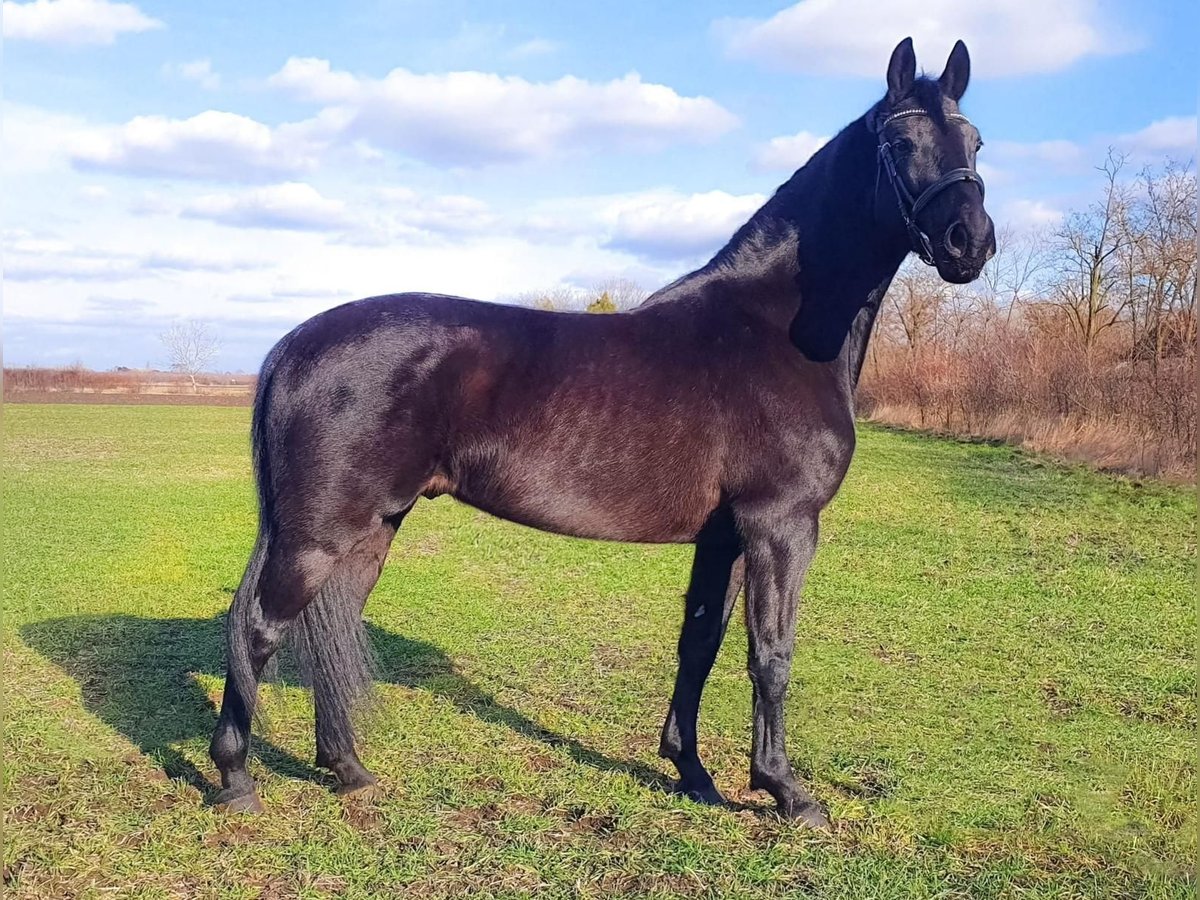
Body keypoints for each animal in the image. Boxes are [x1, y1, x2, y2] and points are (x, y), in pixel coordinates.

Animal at [208, 42, 993, 830]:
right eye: (900, 141)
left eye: (976, 141)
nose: (971, 242)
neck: (774, 330)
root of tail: (294, 344)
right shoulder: (781, 526)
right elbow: (772, 654)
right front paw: (787, 792)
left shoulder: (726, 536)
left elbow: (699, 645)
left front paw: (693, 774)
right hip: (319, 533)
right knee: (259, 628)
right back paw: (237, 779)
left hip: (372, 527)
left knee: (329, 624)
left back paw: (347, 769)